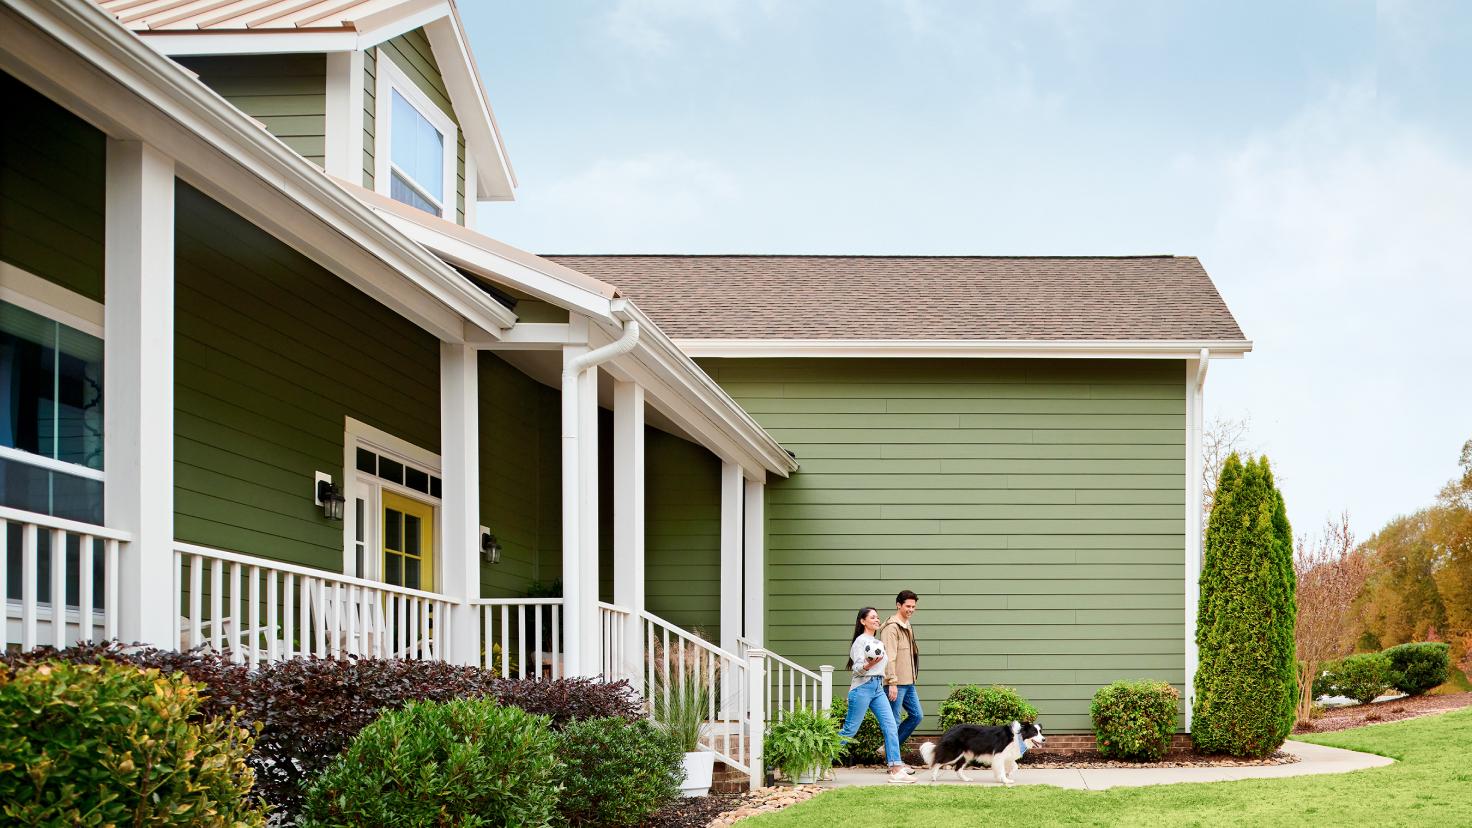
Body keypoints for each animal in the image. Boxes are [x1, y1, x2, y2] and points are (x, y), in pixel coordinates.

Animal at [918, 718, 1048, 783]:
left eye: (1040, 732)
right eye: (1034, 732)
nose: (1044, 739)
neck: (1018, 736)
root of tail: (949, 729)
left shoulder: (1007, 755)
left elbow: (1014, 767)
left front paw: (1005, 775)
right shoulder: (999, 754)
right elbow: (1002, 768)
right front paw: (1005, 779)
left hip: (966, 755)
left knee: (957, 768)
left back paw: (966, 779)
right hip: (954, 752)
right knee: (937, 761)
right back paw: (933, 777)